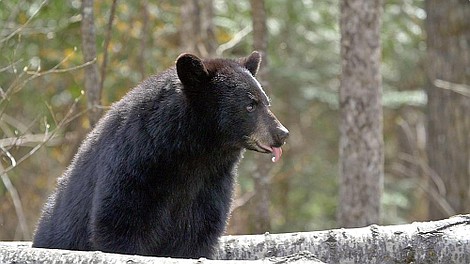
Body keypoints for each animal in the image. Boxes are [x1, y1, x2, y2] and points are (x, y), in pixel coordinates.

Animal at [32, 51, 286, 258]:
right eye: (250, 105)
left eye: (266, 102)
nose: (282, 133)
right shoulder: (135, 165)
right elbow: (119, 222)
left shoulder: (210, 184)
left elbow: (198, 232)